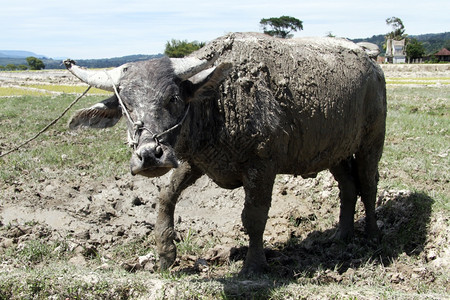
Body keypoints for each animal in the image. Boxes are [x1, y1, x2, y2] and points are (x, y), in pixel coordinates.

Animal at [63, 32, 386, 274]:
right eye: (126, 106)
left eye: (173, 98)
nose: (150, 156)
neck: (217, 101)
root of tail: (370, 62)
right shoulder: (194, 160)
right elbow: (166, 196)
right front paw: (166, 253)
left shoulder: (262, 166)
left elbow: (254, 216)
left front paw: (253, 265)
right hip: (334, 151)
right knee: (348, 187)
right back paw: (341, 234)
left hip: (371, 142)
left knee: (368, 185)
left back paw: (372, 234)